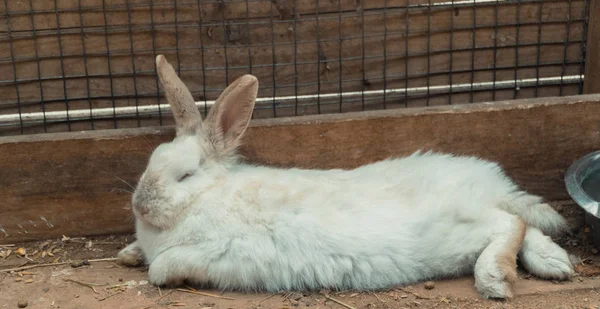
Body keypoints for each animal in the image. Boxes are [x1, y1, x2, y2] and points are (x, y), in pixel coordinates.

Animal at [116, 54, 572, 298]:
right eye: (152, 159)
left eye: (185, 175)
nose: (140, 205)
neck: (208, 196)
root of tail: (487, 183)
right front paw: (128, 253)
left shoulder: (216, 252)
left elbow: (162, 269)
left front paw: (153, 265)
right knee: (526, 224)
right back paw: (555, 262)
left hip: (456, 232)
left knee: (509, 224)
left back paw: (494, 278)